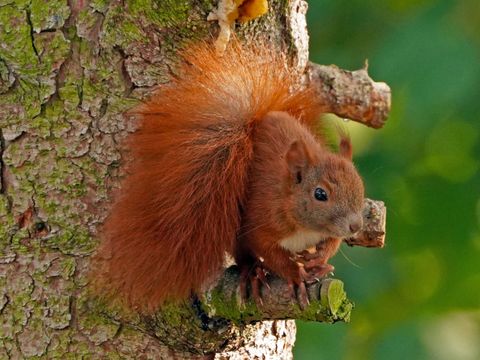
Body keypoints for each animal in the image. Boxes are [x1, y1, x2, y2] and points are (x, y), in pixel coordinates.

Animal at [93, 41, 364, 312]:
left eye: (360, 187)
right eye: (320, 194)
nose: (356, 226)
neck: (304, 225)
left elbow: (332, 241)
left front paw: (319, 258)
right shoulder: (262, 219)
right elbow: (269, 251)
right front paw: (295, 274)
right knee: (243, 254)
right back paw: (253, 273)